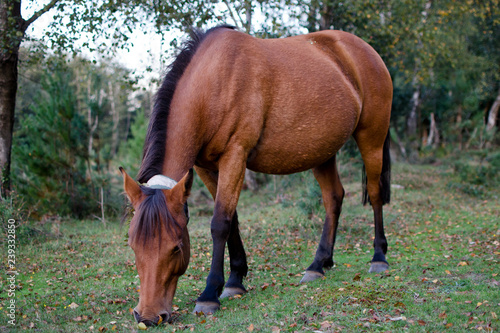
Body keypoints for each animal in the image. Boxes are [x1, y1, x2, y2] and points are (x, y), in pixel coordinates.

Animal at [120, 25, 390, 324]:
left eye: (176, 247)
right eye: (133, 245)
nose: (147, 316)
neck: (214, 82)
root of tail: (364, 50)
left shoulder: (235, 156)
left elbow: (220, 222)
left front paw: (209, 294)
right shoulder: (205, 167)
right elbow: (232, 220)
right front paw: (235, 280)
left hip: (371, 139)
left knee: (375, 193)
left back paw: (379, 257)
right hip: (322, 152)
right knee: (334, 198)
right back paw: (319, 264)